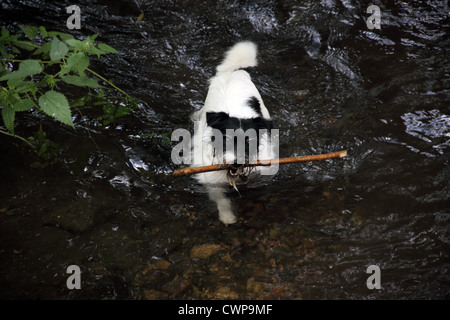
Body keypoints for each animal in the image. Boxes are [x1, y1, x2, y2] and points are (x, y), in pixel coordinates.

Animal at [189, 41, 276, 224]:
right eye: (226, 139)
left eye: (249, 141)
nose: (237, 162)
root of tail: (234, 72)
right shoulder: (212, 180)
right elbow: (221, 199)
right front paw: (227, 217)